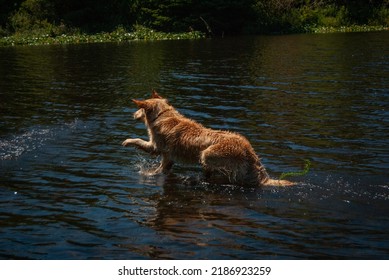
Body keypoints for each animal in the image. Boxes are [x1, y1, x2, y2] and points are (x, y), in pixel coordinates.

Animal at [123, 90, 292, 186]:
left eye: (139, 109)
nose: (132, 114)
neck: (163, 115)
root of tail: (248, 148)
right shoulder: (167, 156)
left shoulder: (157, 149)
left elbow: (140, 143)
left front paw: (127, 142)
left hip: (207, 154)